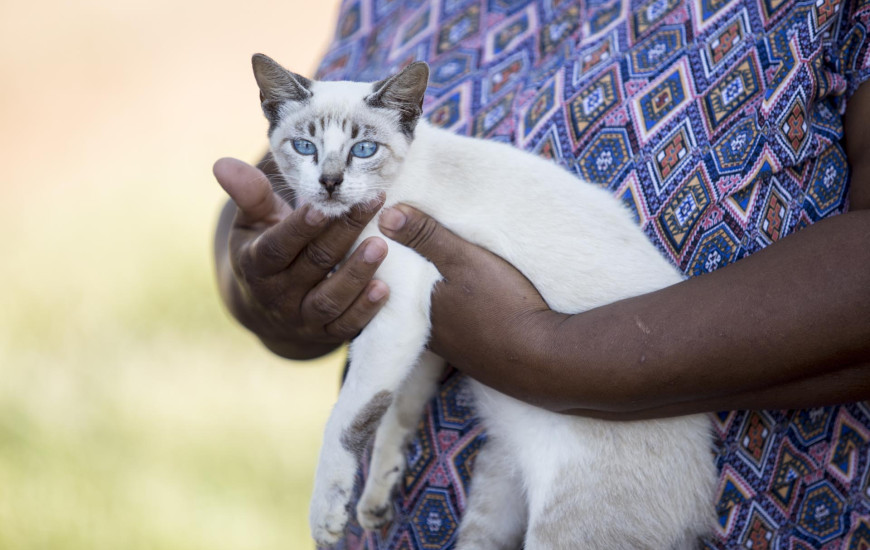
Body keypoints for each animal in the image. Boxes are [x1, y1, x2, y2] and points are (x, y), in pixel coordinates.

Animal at [250, 52, 716, 550]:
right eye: (305, 147)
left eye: (364, 150)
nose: (330, 182)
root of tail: (703, 499)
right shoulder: (425, 335)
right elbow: (396, 411)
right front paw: (375, 499)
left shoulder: (400, 316)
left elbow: (348, 420)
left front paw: (326, 515)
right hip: (493, 497)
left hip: (564, 532)